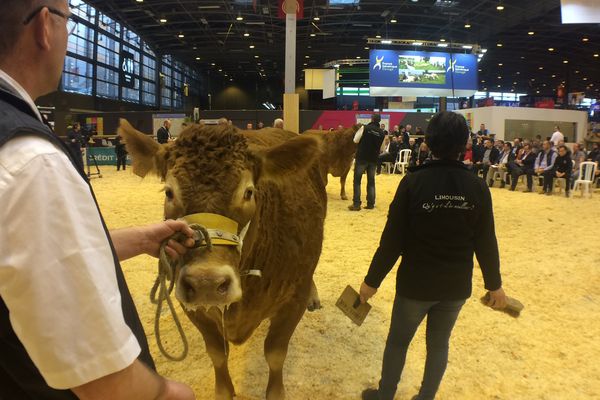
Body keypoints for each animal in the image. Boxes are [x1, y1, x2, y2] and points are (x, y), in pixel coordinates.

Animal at [119, 120, 326, 398]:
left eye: (248, 192)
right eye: (169, 192)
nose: (206, 282)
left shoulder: (294, 299)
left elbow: (275, 353)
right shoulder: (189, 304)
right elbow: (217, 353)